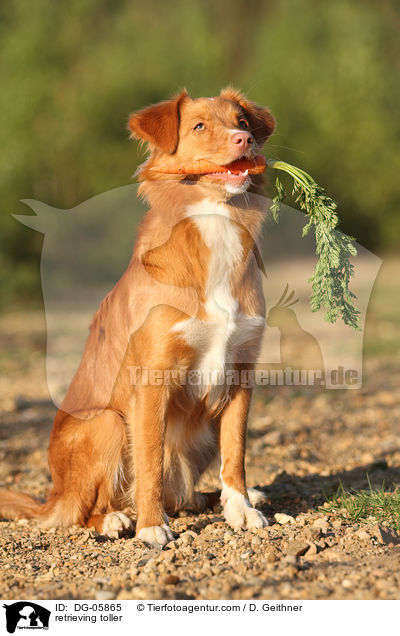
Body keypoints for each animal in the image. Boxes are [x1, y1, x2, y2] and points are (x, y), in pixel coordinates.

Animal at [0, 87, 276, 548]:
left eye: (242, 122)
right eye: (199, 126)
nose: (245, 140)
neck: (215, 224)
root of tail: (53, 494)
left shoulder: (240, 375)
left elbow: (235, 452)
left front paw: (240, 508)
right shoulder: (151, 381)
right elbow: (148, 462)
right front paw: (152, 527)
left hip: (200, 432)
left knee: (185, 491)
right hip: (109, 424)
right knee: (81, 511)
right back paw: (116, 519)